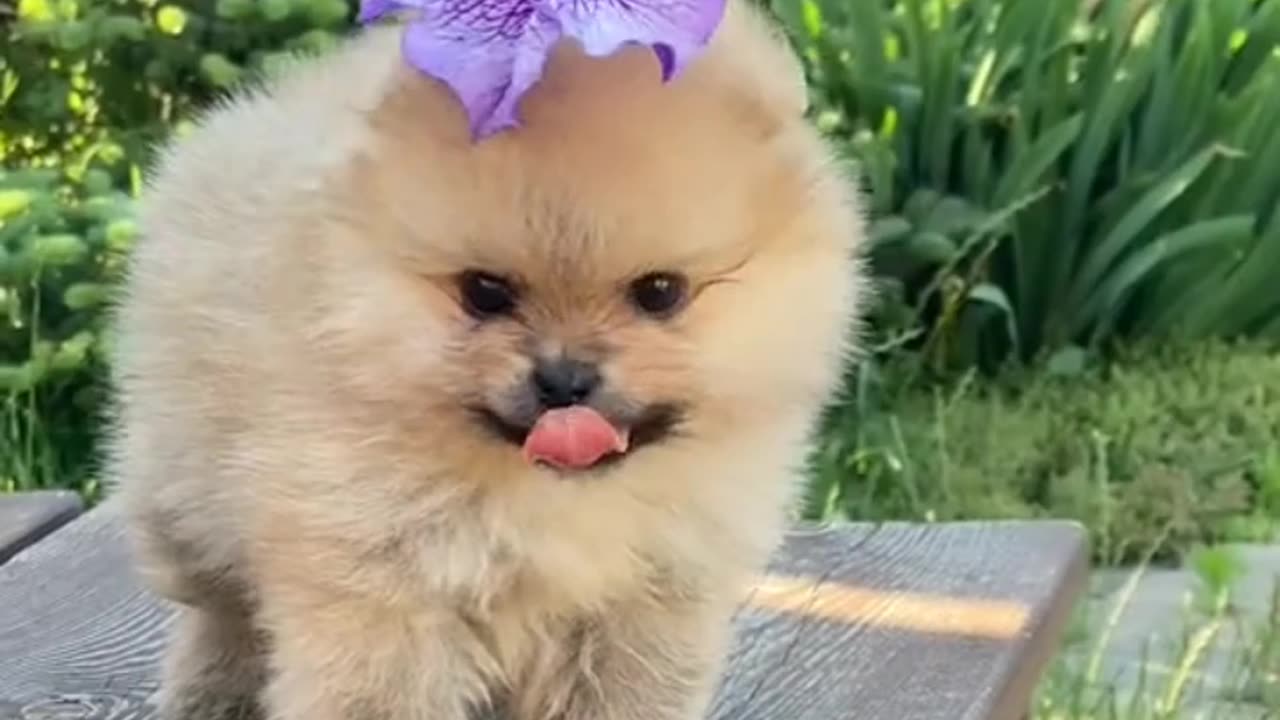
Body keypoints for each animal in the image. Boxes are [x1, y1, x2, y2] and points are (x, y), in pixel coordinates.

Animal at [107, 1, 870, 717]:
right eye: (485, 291)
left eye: (659, 293)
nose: (564, 377)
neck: (550, 498)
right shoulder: (378, 586)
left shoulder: (648, 603)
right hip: (184, 500)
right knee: (222, 611)